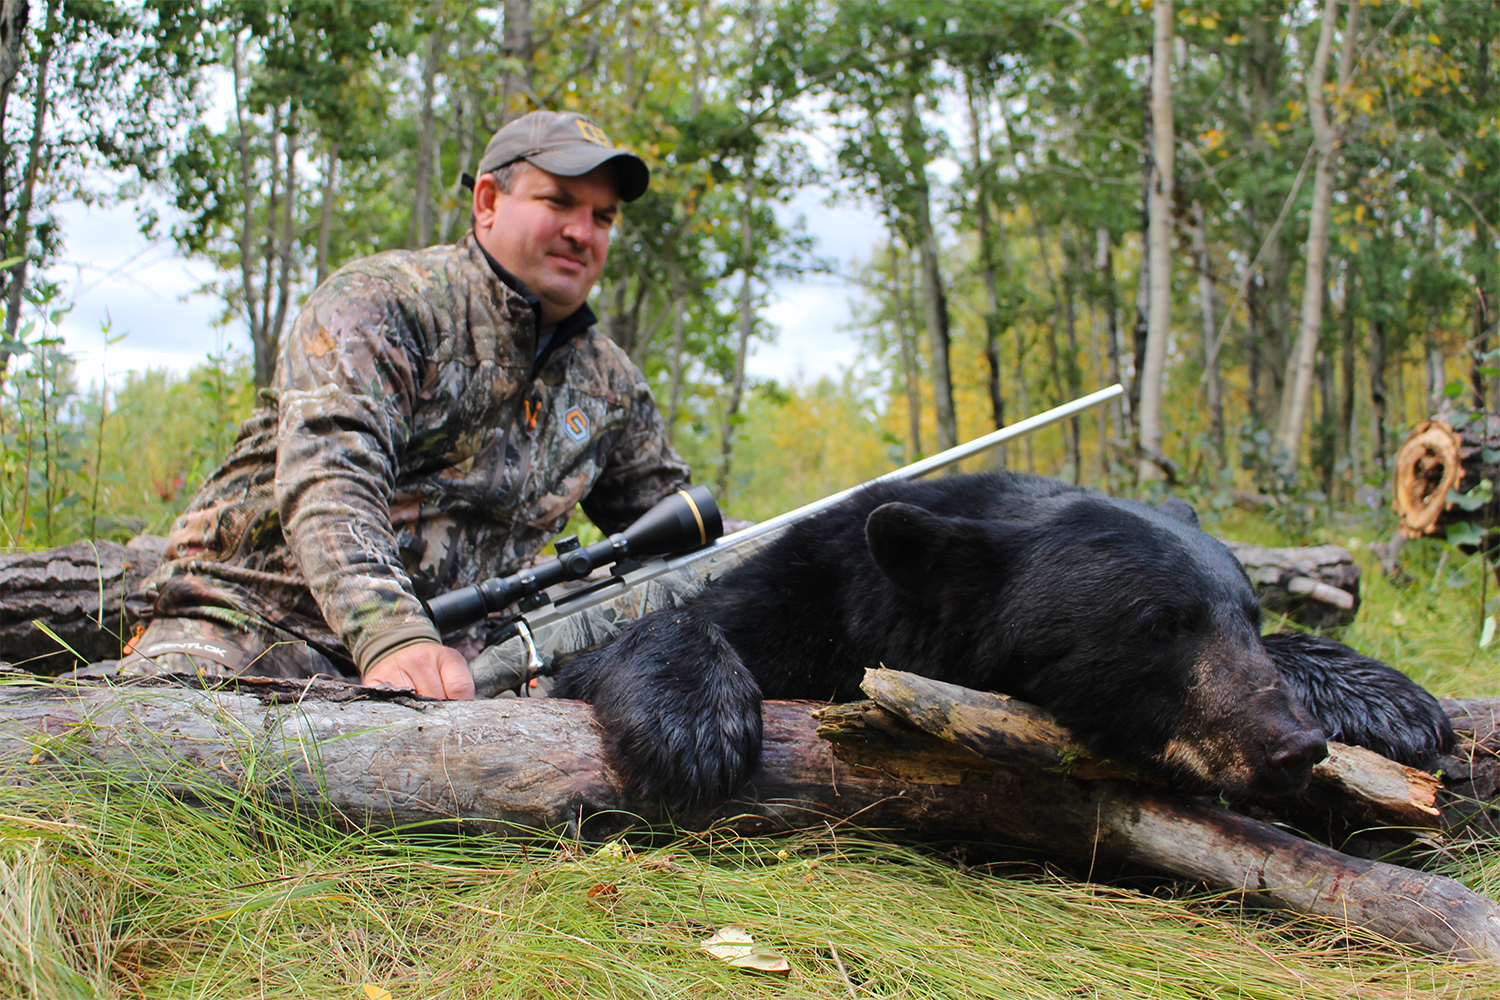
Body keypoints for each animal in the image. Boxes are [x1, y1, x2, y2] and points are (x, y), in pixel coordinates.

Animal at [552, 471, 1454, 808]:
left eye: (1250, 618)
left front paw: (1386, 698)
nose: (1293, 745)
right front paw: (692, 728)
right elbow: (621, 646)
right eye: (1159, 626)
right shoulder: (794, 596)